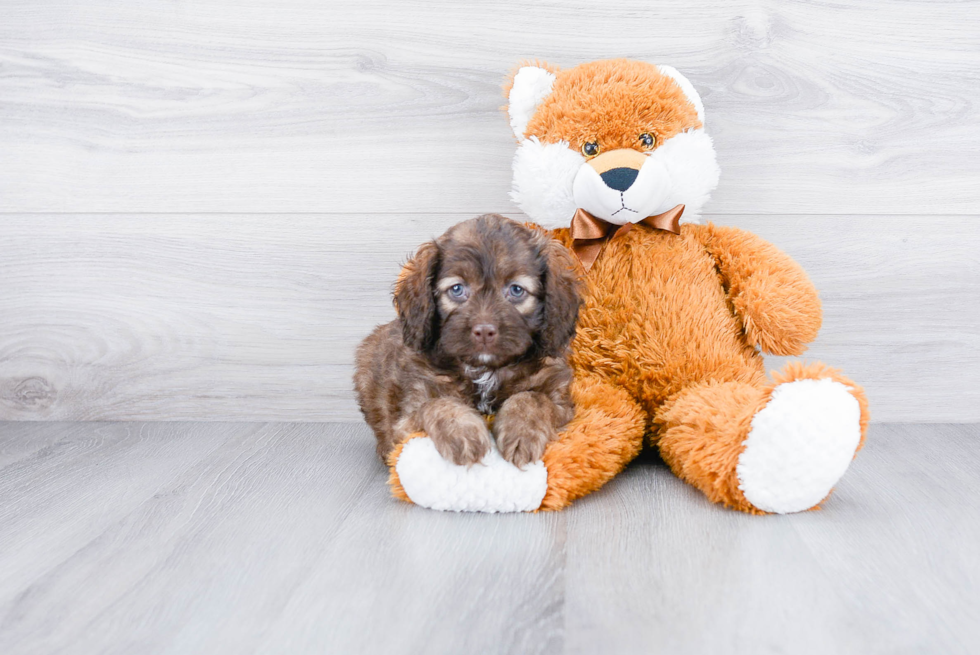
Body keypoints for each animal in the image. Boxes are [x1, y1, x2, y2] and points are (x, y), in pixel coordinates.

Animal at [354, 217, 580, 472]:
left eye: (516, 290)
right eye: (457, 289)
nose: (484, 331)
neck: (485, 371)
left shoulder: (560, 400)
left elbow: (532, 398)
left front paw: (521, 432)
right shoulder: (407, 416)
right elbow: (437, 403)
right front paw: (461, 432)